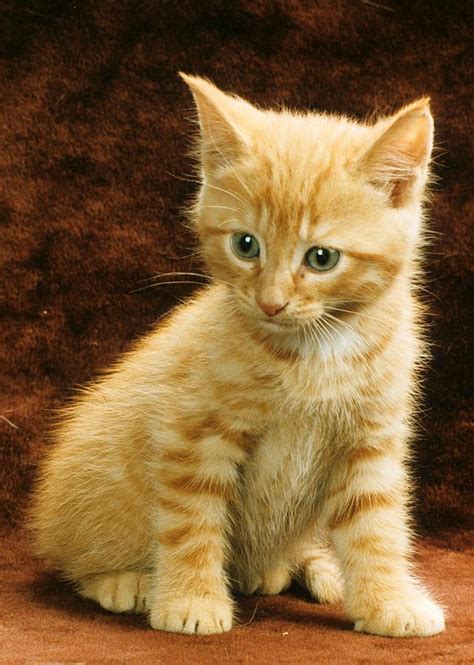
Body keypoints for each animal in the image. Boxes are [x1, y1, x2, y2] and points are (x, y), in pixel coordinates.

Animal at [29, 71, 444, 632]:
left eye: (322, 258)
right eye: (246, 245)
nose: (270, 302)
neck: (315, 350)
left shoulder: (370, 440)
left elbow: (376, 525)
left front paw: (389, 601)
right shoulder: (194, 433)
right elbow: (191, 522)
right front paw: (191, 603)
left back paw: (298, 568)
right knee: (77, 559)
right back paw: (125, 581)